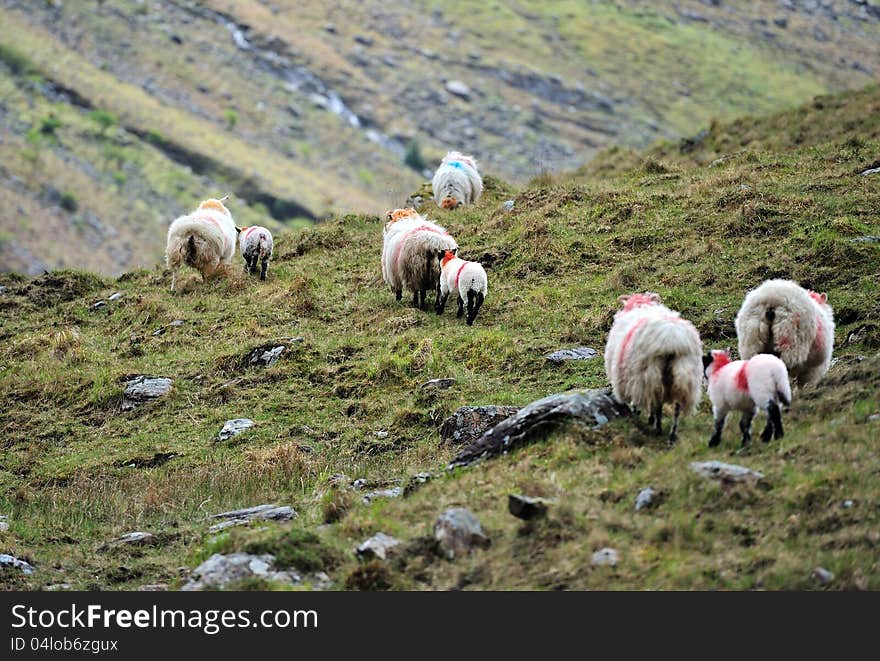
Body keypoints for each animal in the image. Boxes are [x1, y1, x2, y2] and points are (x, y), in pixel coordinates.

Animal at [604, 292, 700, 444]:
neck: (641, 306)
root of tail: (671, 338)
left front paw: (643, 415)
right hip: (685, 374)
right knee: (677, 407)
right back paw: (672, 435)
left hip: (648, 374)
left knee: (658, 403)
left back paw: (657, 427)